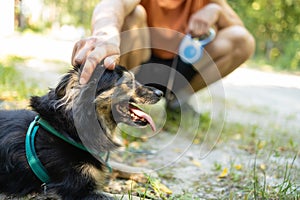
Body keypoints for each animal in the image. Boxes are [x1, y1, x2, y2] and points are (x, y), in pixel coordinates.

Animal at [0, 65, 162, 199]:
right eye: (128, 82)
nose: (160, 93)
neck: (67, 130)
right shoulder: (75, 190)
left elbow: (114, 165)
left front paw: (144, 172)